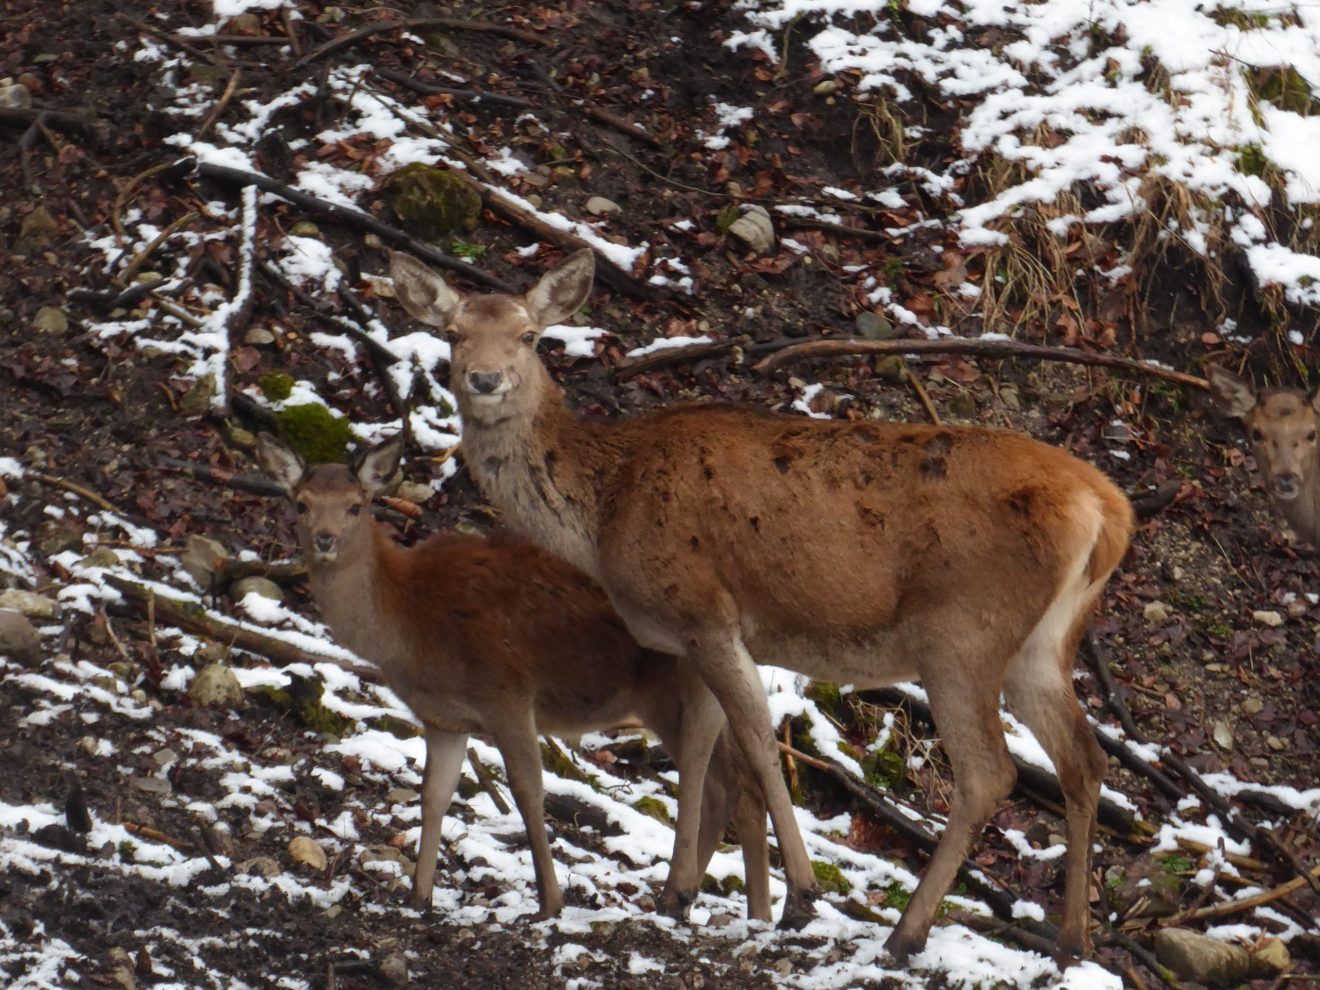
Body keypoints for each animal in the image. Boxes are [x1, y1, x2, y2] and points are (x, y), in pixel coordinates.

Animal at [252, 432, 770, 924]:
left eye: (355, 506)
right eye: (302, 503)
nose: (324, 539)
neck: (411, 619)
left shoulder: (506, 691)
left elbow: (527, 789)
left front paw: (550, 902)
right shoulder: (442, 718)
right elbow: (434, 794)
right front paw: (418, 897)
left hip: (676, 688)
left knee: (719, 784)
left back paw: (686, 897)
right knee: (739, 787)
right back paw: (741, 909)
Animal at [388, 249, 1135, 971]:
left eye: (529, 335)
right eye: (453, 332)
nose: (485, 379)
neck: (602, 514)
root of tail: (1108, 510)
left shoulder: (705, 611)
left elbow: (753, 739)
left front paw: (796, 897)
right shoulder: (689, 635)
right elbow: (701, 748)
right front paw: (679, 891)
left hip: (962, 634)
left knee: (988, 773)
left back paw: (905, 934)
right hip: (1041, 646)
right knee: (1084, 759)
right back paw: (1072, 943)